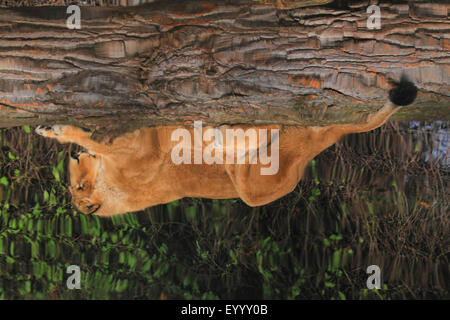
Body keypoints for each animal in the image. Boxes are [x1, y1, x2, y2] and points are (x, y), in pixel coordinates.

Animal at [36, 76, 418, 216]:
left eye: (76, 184)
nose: (74, 160)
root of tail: (322, 142)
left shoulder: (142, 143)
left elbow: (89, 136)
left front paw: (54, 129)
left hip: (251, 185)